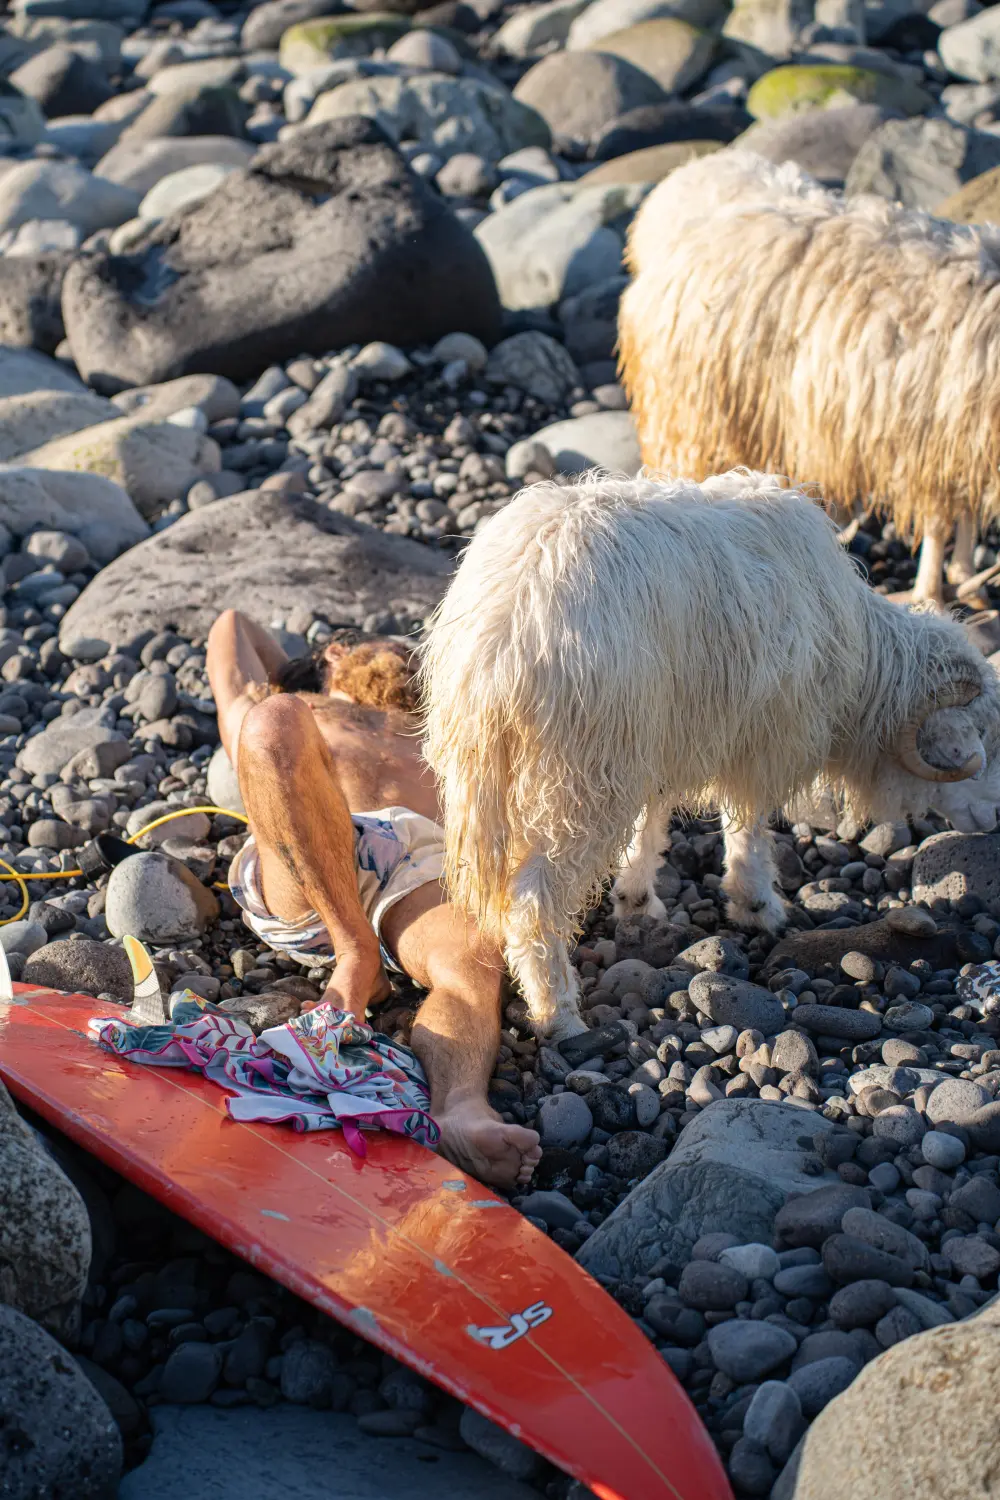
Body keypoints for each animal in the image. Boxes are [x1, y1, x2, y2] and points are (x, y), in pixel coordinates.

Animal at [419, 474, 1000, 1038]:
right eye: (980, 737)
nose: (994, 820)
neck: (864, 665)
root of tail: (504, 635)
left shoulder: (663, 736)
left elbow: (651, 821)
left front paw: (636, 900)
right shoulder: (763, 737)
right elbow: (750, 823)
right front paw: (756, 903)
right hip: (582, 775)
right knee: (534, 901)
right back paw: (559, 1016)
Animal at [617, 147, 1000, 603]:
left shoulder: (963, 443)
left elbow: (967, 511)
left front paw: (965, 578)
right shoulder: (925, 440)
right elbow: (940, 522)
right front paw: (931, 594)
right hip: (692, 413)